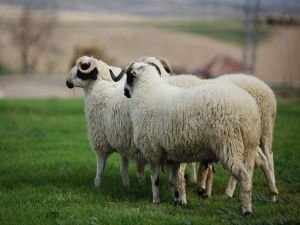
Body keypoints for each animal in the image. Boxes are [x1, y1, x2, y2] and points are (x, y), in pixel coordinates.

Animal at [65, 55, 146, 188]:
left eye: (83, 68)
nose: (67, 81)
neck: (99, 85)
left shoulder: (100, 139)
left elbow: (100, 167)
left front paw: (97, 185)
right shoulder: (124, 141)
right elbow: (123, 169)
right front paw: (127, 186)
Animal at [110, 61, 262, 214]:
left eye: (129, 76)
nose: (125, 92)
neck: (146, 93)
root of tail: (249, 110)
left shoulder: (154, 152)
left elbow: (155, 179)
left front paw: (156, 201)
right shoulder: (171, 155)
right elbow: (173, 181)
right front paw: (176, 201)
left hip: (230, 144)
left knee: (243, 177)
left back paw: (246, 211)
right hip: (249, 146)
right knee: (249, 175)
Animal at [138, 56, 278, 200]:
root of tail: (266, 88)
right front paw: (202, 188)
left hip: (259, 131)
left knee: (263, 158)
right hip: (251, 136)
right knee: (262, 159)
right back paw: (271, 191)